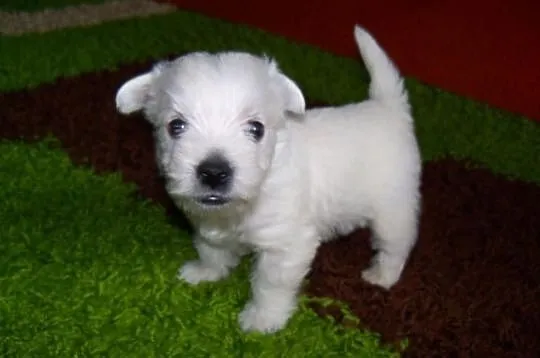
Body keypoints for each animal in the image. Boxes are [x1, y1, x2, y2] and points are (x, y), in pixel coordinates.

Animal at [115, 24, 422, 332]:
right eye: (175, 126)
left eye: (256, 128)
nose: (214, 172)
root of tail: (388, 108)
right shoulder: (209, 223)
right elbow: (210, 249)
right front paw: (206, 272)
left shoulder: (285, 246)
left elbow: (270, 284)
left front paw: (262, 319)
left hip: (393, 208)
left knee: (397, 244)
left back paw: (382, 275)